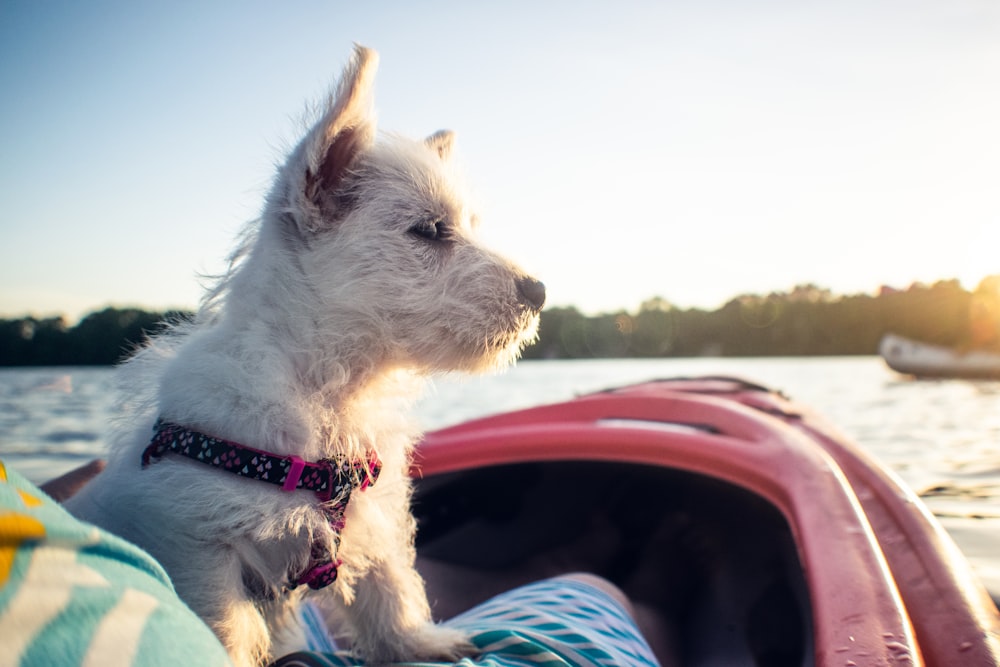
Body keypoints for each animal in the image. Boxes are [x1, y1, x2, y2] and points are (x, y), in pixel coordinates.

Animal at [66, 47, 544, 667]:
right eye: (431, 230)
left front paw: (419, 644)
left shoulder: (370, 515)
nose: (540, 292)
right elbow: (227, 629)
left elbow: (389, 586)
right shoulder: (199, 544)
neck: (324, 390)